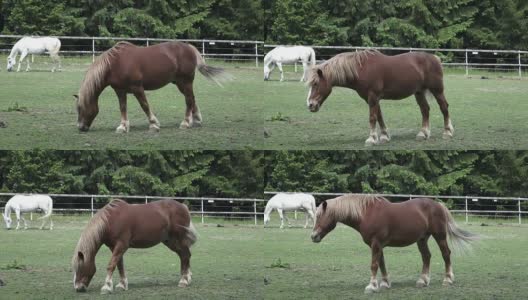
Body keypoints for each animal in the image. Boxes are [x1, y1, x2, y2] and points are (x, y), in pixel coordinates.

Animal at [74, 40, 229, 131]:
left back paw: (185, 123)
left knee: (189, 100)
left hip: (186, 81)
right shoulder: (120, 91)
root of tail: (189, 47)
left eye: (80, 108)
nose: (80, 127)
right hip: (180, 83)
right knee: (192, 99)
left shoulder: (137, 88)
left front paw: (154, 123)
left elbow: (144, 105)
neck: (115, 64)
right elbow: (122, 107)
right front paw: (123, 126)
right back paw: (195, 120)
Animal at [306, 50, 454, 146]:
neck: (361, 69)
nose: (310, 105)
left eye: (315, 83)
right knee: (425, 110)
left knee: (444, 107)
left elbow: (372, 117)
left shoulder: (372, 97)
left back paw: (447, 132)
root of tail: (435, 58)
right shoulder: (372, 99)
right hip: (419, 92)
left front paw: (372, 139)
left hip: (437, 90)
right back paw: (423, 134)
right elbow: (379, 116)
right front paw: (384, 136)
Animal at [310, 195, 478, 292]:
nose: (313, 236)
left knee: (445, 254)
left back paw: (448, 279)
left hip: (440, 236)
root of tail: (439, 205)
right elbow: (381, 263)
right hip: (422, 239)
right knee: (426, 256)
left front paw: (372, 286)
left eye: (320, 216)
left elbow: (374, 264)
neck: (367, 213)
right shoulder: (377, 245)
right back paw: (422, 281)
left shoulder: (376, 243)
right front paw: (384, 283)